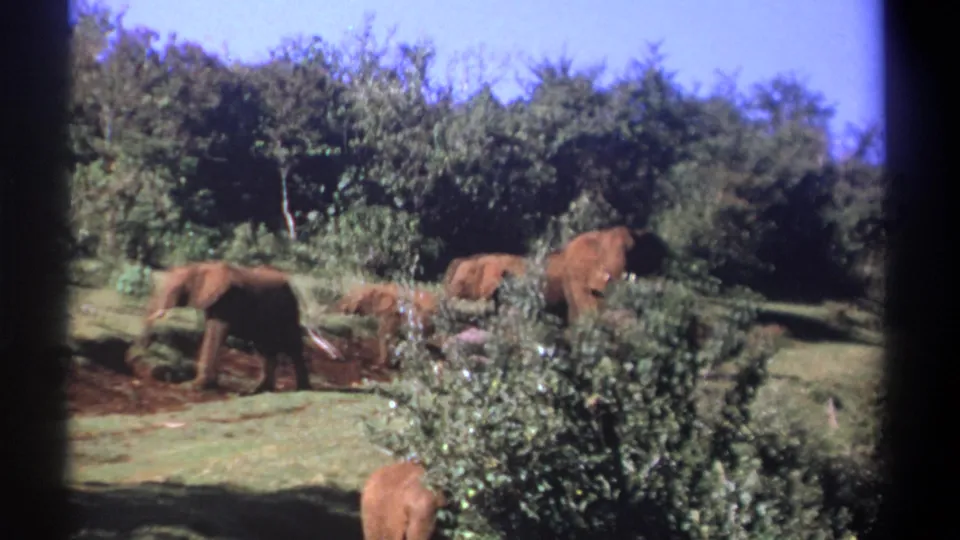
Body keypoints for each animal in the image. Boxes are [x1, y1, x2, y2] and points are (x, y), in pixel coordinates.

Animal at [125, 261, 347, 394]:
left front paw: (192, 387)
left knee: (291, 345)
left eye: (175, 290)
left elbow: (216, 332)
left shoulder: (228, 302)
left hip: (287, 309)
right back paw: (259, 390)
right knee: (266, 347)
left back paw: (302, 389)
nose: (132, 358)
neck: (200, 266)